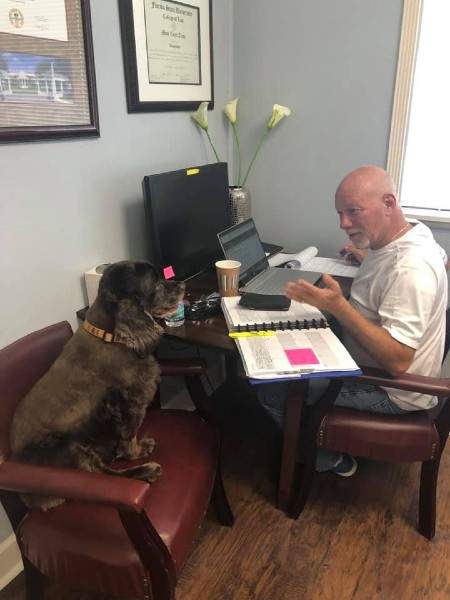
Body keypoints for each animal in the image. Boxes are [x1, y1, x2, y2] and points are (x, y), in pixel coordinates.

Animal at [10, 260, 184, 508]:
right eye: (156, 282)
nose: (183, 285)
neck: (112, 335)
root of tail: (26, 498)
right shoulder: (128, 403)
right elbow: (130, 436)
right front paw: (138, 451)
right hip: (69, 446)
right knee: (102, 473)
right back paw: (145, 471)